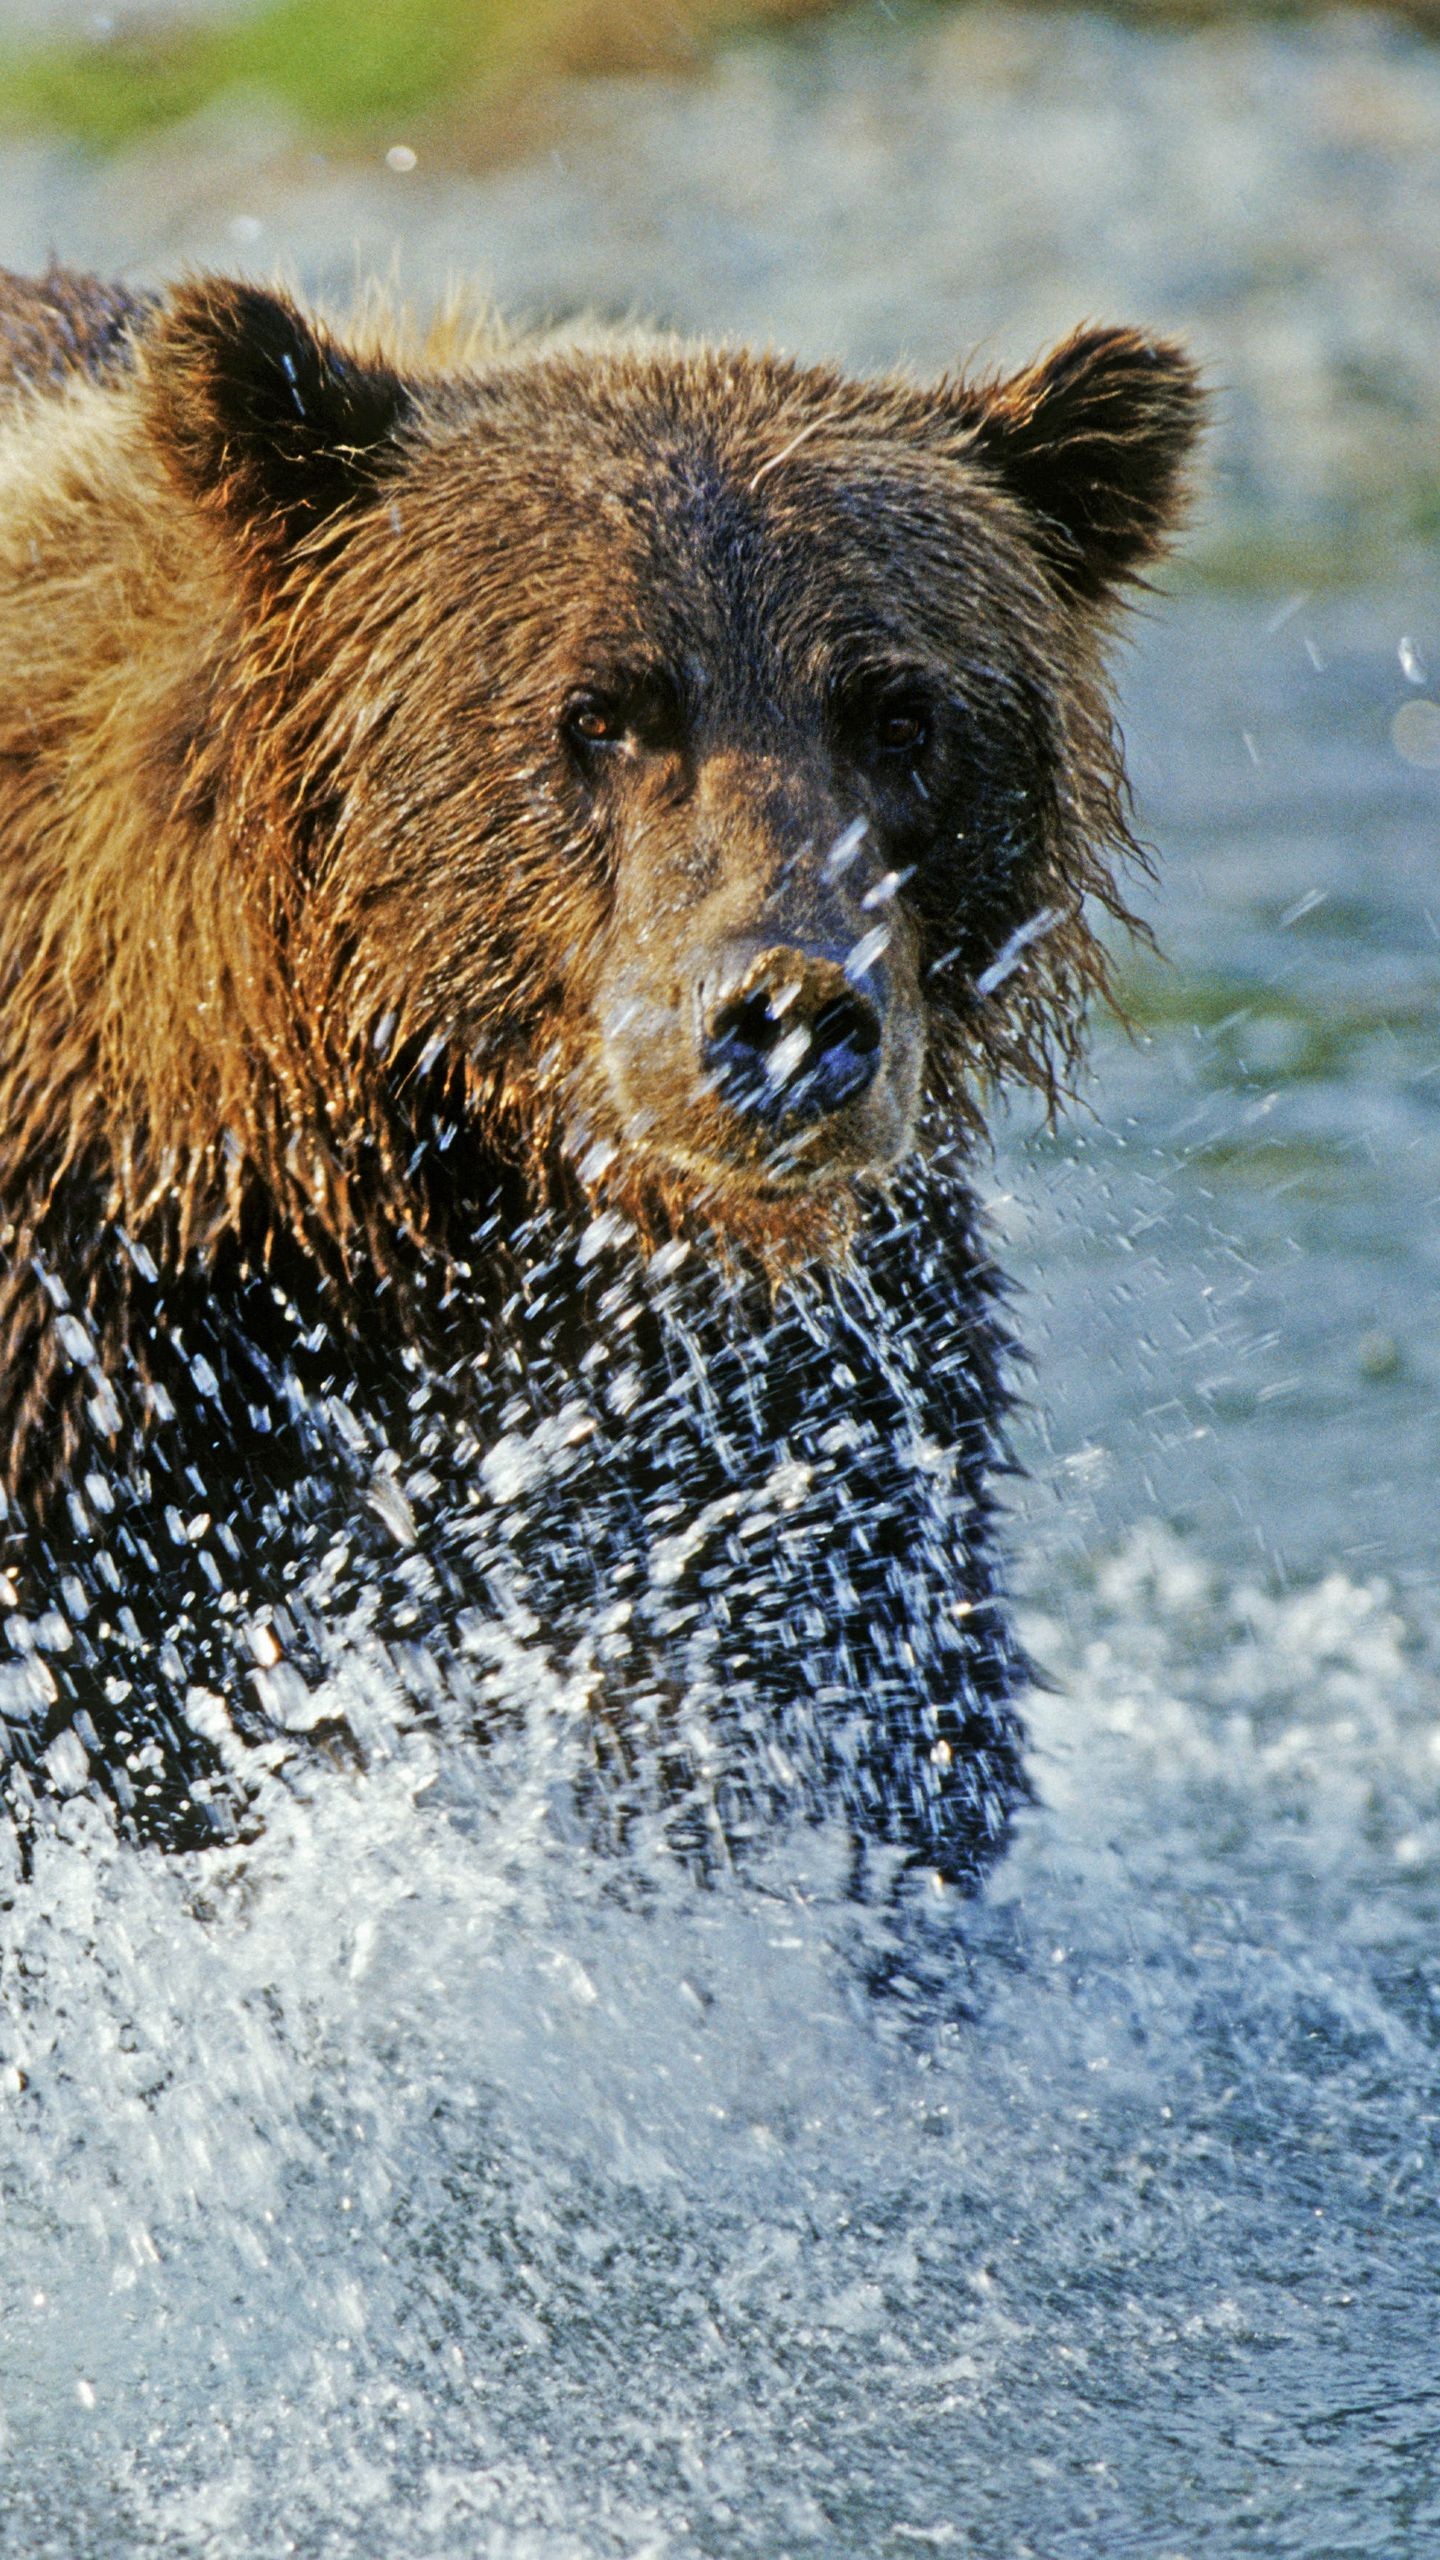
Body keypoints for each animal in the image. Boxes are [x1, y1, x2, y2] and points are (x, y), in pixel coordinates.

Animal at [0, 270, 1194, 1894]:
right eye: (604, 711)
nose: (785, 1019)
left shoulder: (790, 1394)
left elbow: (850, 1711)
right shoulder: (100, 1363)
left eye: (901, 713)